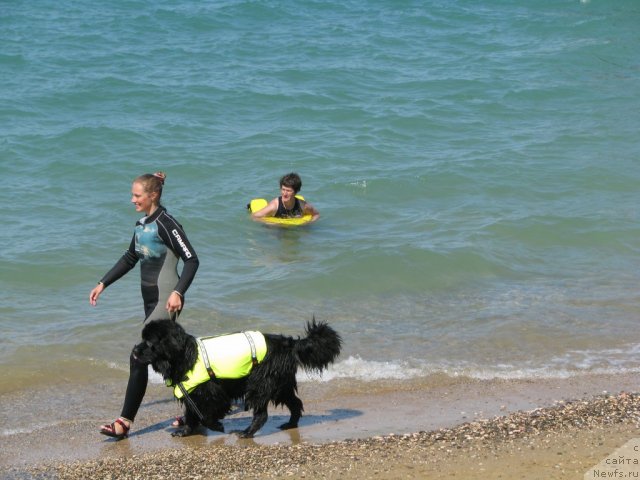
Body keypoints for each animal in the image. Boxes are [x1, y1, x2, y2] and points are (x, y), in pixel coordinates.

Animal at [135, 318, 342, 438]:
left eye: (148, 342)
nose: (135, 351)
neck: (185, 356)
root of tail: (289, 343)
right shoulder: (192, 394)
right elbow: (192, 415)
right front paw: (184, 432)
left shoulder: (213, 393)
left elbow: (205, 416)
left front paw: (217, 426)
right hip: (280, 384)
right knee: (295, 403)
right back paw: (290, 424)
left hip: (260, 383)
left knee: (262, 414)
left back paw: (246, 432)